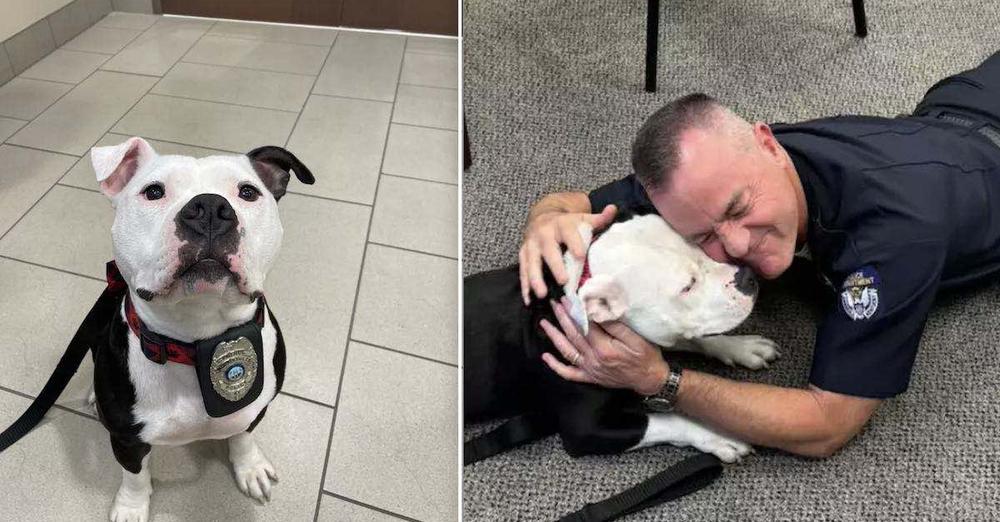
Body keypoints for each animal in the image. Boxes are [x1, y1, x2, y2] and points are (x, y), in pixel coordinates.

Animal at [80, 136, 310, 516]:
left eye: (248, 192)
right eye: (153, 191)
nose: (210, 208)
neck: (196, 340)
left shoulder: (255, 407)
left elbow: (243, 436)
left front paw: (249, 467)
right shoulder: (126, 439)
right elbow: (134, 476)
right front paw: (131, 506)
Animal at [464, 207, 776, 460]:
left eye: (699, 247)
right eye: (687, 287)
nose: (748, 277)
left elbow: (693, 339)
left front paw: (740, 347)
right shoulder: (585, 429)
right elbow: (667, 421)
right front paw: (718, 435)